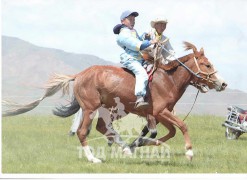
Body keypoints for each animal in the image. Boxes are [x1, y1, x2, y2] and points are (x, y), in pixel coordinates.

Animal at [3, 41, 228, 163]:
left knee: (104, 128)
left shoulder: (159, 114)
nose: (223, 83)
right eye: (207, 64)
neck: (167, 79)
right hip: (91, 108)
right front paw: (189, 152)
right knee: (83, 132)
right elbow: (182, 126)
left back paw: (126, 148)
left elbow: (169, 131)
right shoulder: (160, 112)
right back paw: (94, 158)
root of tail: (79, 75)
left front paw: (141, 143)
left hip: (110, 109)